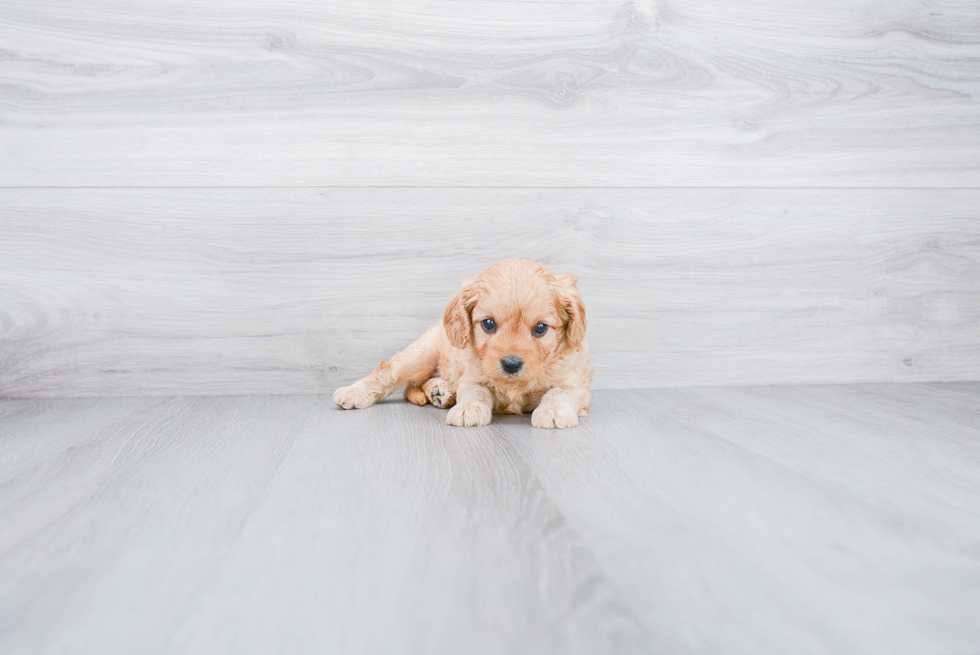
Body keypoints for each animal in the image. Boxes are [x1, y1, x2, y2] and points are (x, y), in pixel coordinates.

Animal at [332, 256, 588, 430]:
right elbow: (476, 391)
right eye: (488, 324)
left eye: (540, 328)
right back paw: (354, 393)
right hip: (420, 356)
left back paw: (440, 392)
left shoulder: (574, 380)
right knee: (390, 375)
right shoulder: (473, 374)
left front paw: (553, 411)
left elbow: (560, 392)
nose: (511, 364)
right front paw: (469, 409)